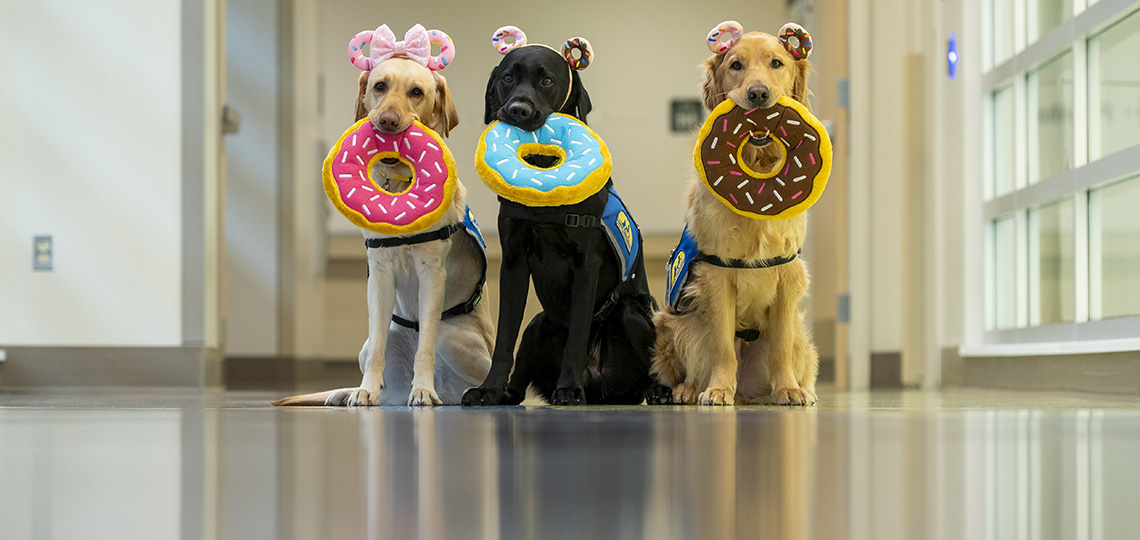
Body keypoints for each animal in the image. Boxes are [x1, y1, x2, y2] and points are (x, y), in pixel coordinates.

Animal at [275, 24, 494, 405]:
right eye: (379, 86)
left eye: (417, 92)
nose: (388, 120)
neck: (397, 186)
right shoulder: (378, 275)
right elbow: (377, 340)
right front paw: (365, 391)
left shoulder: (431, 273)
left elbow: (425, 345)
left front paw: (422, 390)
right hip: (376, 344)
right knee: (380, 361)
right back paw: (349, 392)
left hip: (455, 339)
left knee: (448, 360)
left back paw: (448, 391)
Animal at [458, 32, 656, 405]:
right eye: (508, 78)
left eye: (547, 81)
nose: (518, 111)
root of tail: (598, 387)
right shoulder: (513, 262)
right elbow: (504, 336)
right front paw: (488, 388)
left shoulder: (586, 263)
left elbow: (577, 334)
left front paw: (569, 388)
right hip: (539, 324)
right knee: (520, 375)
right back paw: (506, 393)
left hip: (633, 314)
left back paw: (658, 390)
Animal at [642, 23, 820, 407]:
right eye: (736, 65)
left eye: (776, 63)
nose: (758, 94)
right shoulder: (716, 276)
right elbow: (722, 346)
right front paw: (719, 389)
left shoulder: (788, 276)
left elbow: (781, 347)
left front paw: (788, 389)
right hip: (681, 325)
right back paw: (689, 390)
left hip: (801, 333)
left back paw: (803, 390)